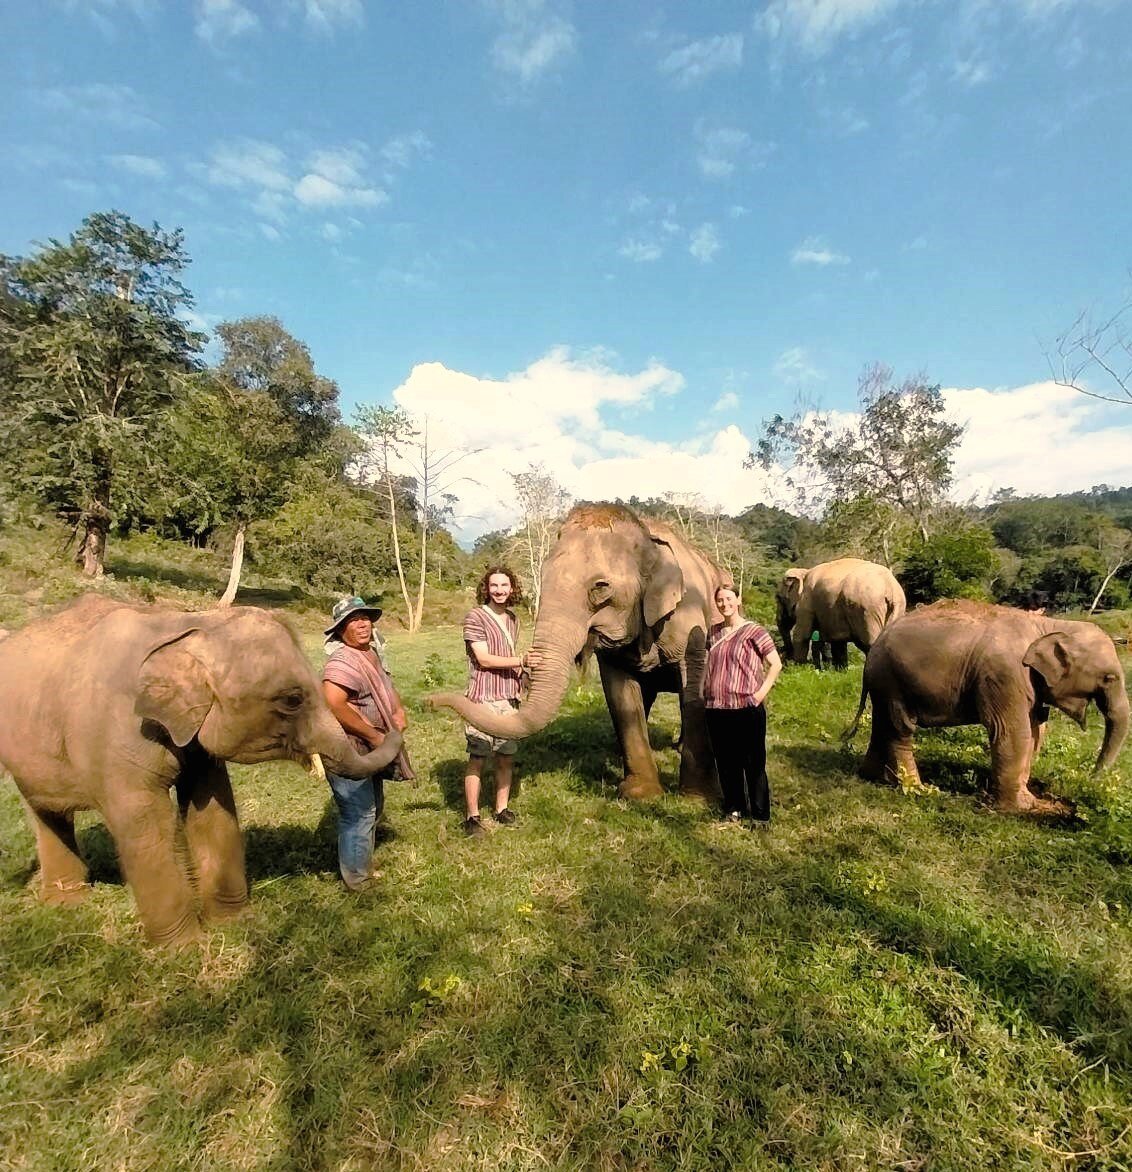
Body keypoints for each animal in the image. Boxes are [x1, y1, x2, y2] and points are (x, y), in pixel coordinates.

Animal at [0, 595, 403, 942]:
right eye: (292, 699)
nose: (394, 723)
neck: (186, 626)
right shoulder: (113, 733)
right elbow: (144, 821)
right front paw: (183, 948)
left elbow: (212, 805)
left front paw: (234, 923)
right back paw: (66, 902)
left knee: (47, 813)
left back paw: (65, 901)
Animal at [428, 499, 721, 801]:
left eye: (600, 587)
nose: (429, 702)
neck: (647, 534)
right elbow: (621, 695)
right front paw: (640, 795)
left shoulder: (689, 617)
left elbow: (693, 687)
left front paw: (697, 798)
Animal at [773, 557, 909, 670]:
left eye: (778, 598)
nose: (786, 660)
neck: (804, 572)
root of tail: (890, 586)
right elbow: (837, 640)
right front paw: (840, 671)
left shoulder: (806, 603)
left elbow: (801, 634)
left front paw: (799, 668)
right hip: (896, 608)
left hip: (867, 610)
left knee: (870, 643)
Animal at [848, 600, 1129, 811]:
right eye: (1109, 678)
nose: (1090, 779)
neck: (1049, 626)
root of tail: (874, 647)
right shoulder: (1004, 675)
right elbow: (1013, 732)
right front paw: (1019, 808)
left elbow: (1035, 732)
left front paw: (1028, 799)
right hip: (893, 680)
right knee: (901, 729)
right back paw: (919, 790)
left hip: (884, 683)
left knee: (882, 725)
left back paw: (873, 776)